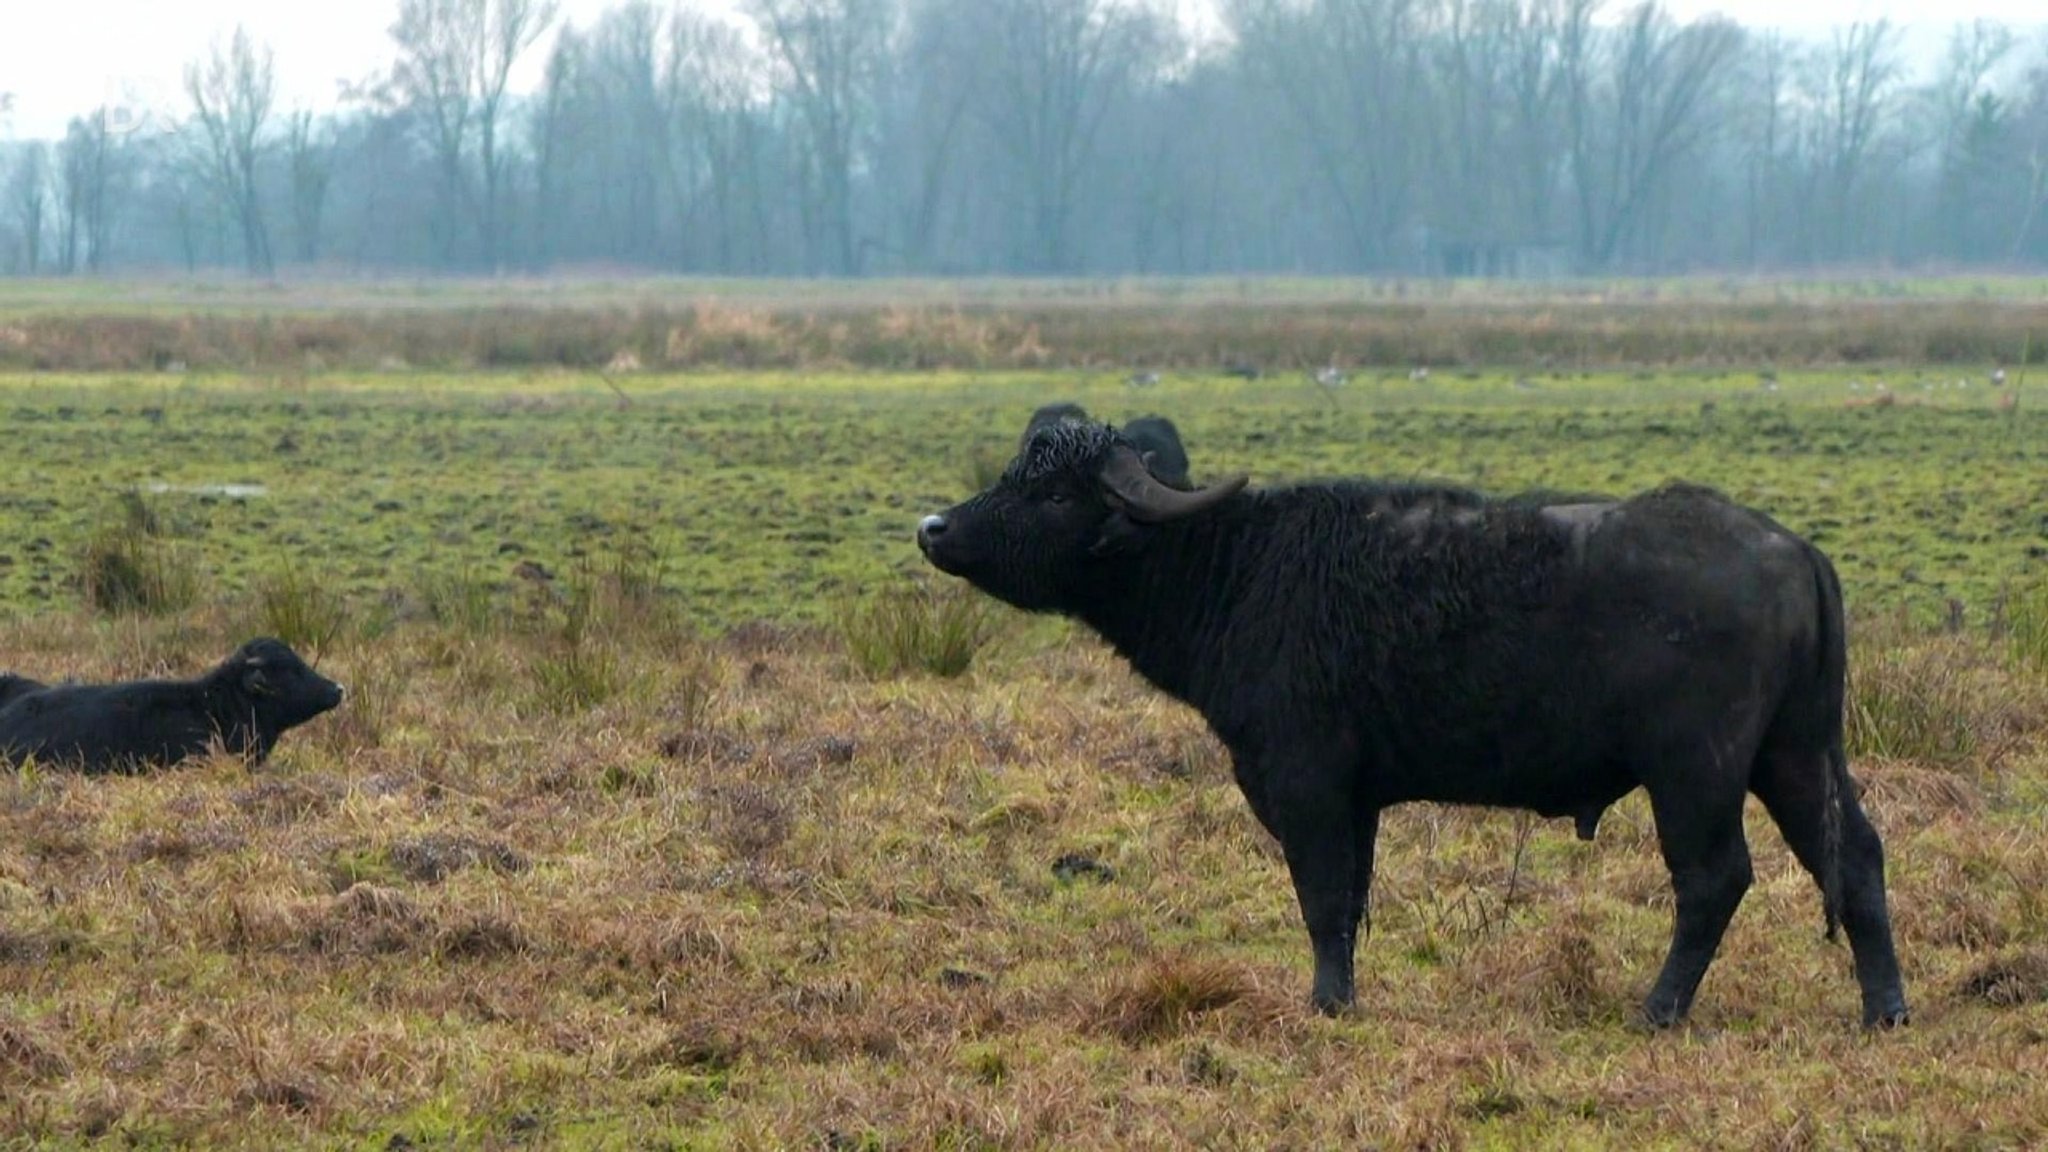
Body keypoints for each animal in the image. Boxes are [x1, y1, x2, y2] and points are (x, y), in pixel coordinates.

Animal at [921, 420, 1908, 1020]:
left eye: (1056, 495)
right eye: (1014, 472)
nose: (935, 528)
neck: (1238, 569)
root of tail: (1794, 549)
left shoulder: (1307, 784)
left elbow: (1321, 898)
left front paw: (1325, 1005)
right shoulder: (1357, 802)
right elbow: (1352, 902)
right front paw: (1344, 997)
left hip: (1697, 770)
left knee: (1713, 878)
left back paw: (1658, 1009)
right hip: (1794, 755)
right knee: (1856, 856)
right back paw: (1883, 1008)